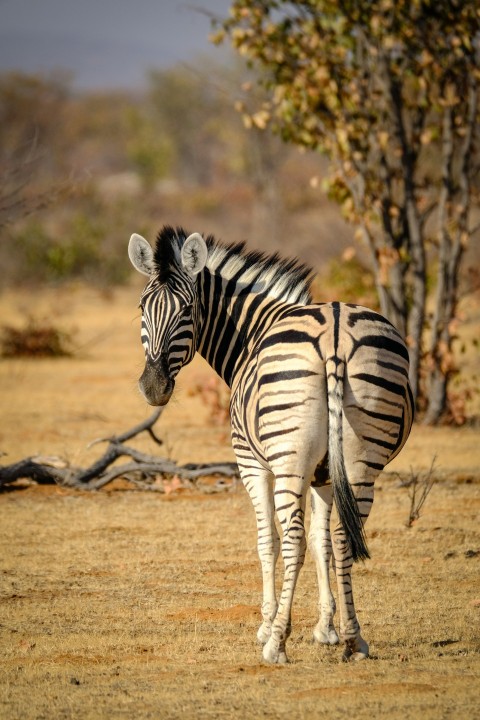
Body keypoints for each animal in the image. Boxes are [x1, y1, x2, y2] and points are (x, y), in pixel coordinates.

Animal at [129, 225, 414, 664]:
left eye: (188, 310)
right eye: (143, 308)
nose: (153, 388)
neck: (254, 331)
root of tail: (334, 334)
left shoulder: (250, 462)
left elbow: (269, 541)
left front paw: (267, 623)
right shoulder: (326, 474)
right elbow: (323, 541)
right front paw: (327, 628)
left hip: (287, 461)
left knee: (292, 539)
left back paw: (276, 642)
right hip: (361, 462)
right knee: (345, 538)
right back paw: (354, 640)